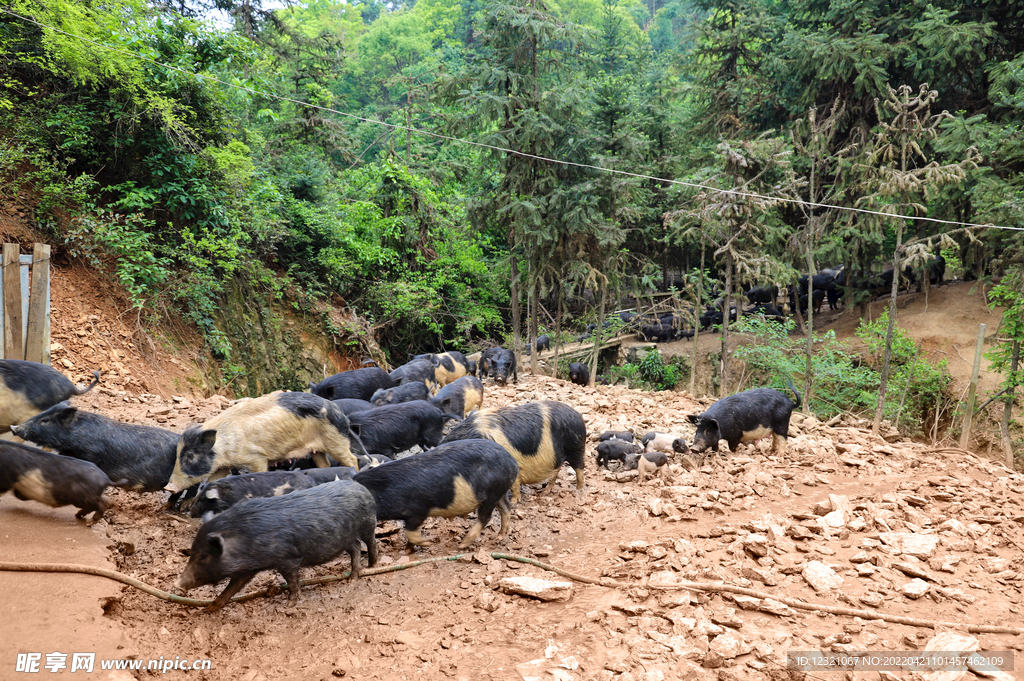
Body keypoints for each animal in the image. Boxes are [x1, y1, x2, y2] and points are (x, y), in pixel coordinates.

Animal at [168, 391, 372, 491]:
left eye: (190, 455)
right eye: (178, 455)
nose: (169, 487)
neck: (225, 445)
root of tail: (340, 414)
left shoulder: (256, 457)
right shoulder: (222, 465)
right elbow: (212, 479)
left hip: (336, 441)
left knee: (351, 459)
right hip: (318, 449)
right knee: (325, 464)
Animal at [352, 440, 516, 548]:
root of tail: (512, 462)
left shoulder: (418, 510)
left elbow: (409, 532)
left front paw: (429, 543)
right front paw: (409, 550)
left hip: (491, 493)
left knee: (486, 517)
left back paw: (462, 544)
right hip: (498, 492)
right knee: (506, 508)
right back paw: (499, 537)